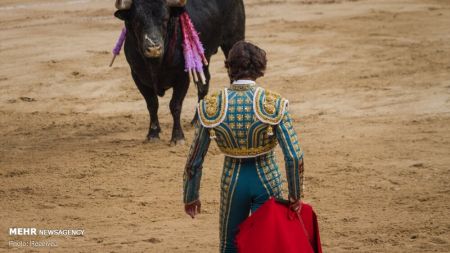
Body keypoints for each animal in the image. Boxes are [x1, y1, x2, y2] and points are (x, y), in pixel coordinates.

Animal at [114, 0, 244, 144]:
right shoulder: (137, 76)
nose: (154, 48)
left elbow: (175, 105)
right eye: (137, 20)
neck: (155, 63)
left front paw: (177, 136)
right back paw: (196, 120)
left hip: (233, 42)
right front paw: (153, 133)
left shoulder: (182, 76)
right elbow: (152, 104)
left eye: (165, 19)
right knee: (203, 85)